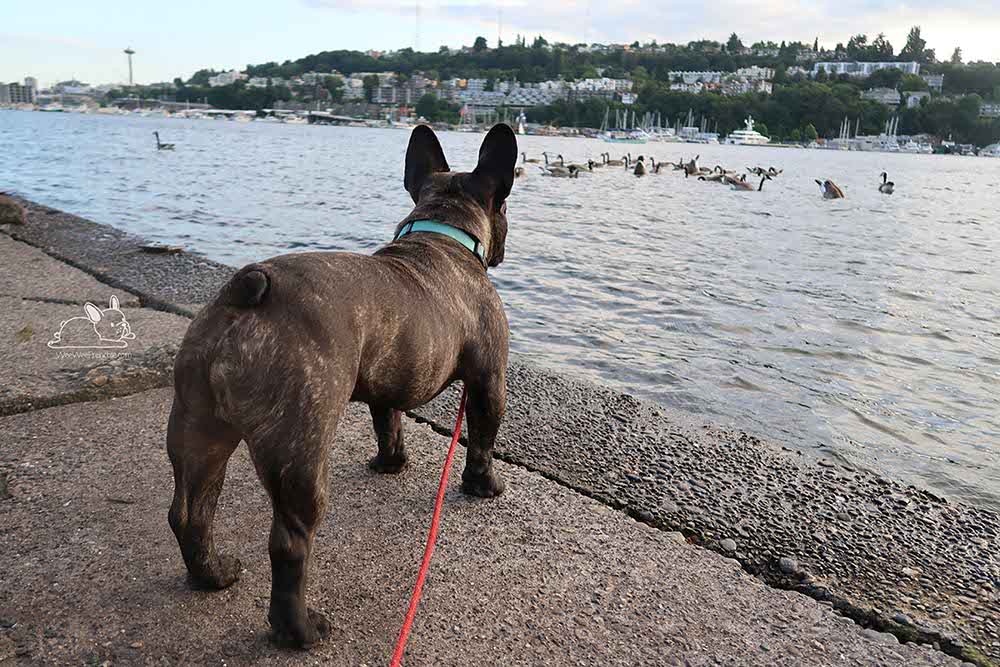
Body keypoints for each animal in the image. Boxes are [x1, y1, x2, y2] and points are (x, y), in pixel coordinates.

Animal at [166, 122, 516, 648]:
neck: (441, 233)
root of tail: (246, 290)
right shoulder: (490, 379)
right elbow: (483, 438)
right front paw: (483, 486)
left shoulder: (390, 378)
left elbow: (388, 424)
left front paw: (391, 464)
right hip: (300, 450)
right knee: (289, 544)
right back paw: (300, 630)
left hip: (198, 430)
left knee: (190, 511)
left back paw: (213, 575)